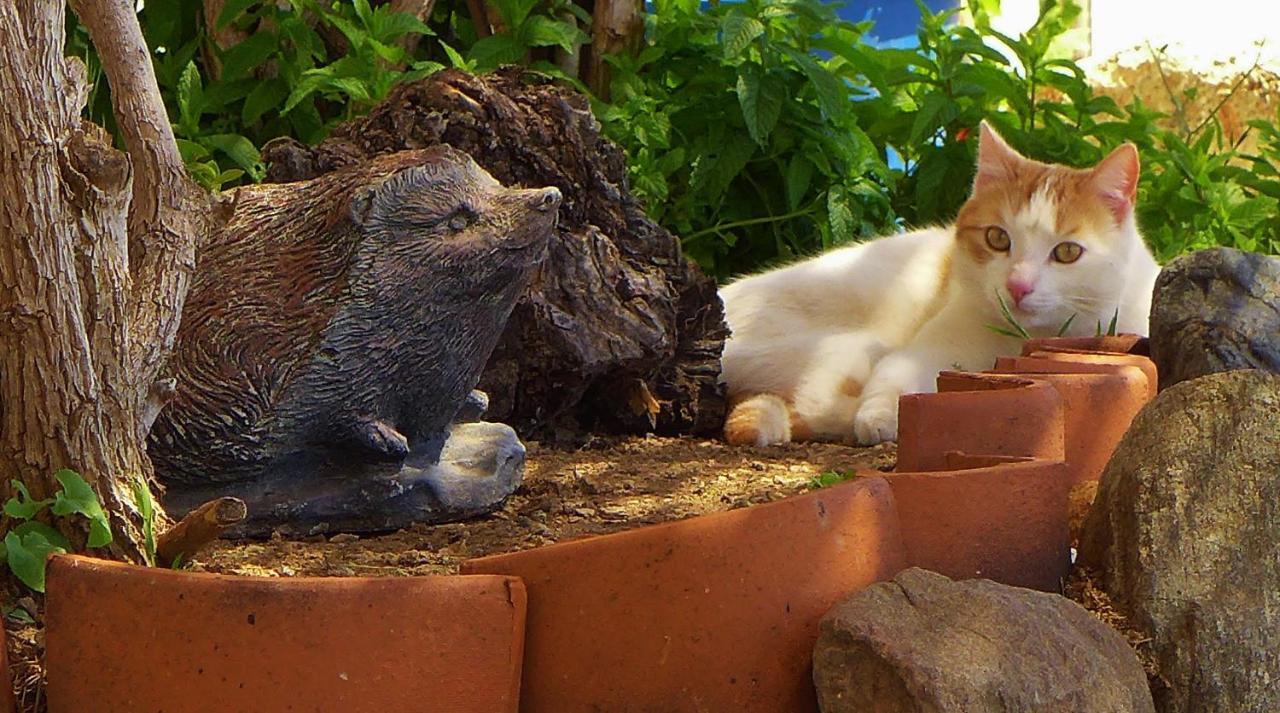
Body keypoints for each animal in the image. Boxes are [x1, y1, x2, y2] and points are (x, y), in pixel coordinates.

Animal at [721, 122, 1162, 445]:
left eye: (1068, 252)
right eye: (997, 238)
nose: (1018, 285)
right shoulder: (924, 349)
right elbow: (896, 379)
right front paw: (881, 414)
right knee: (815, 399)